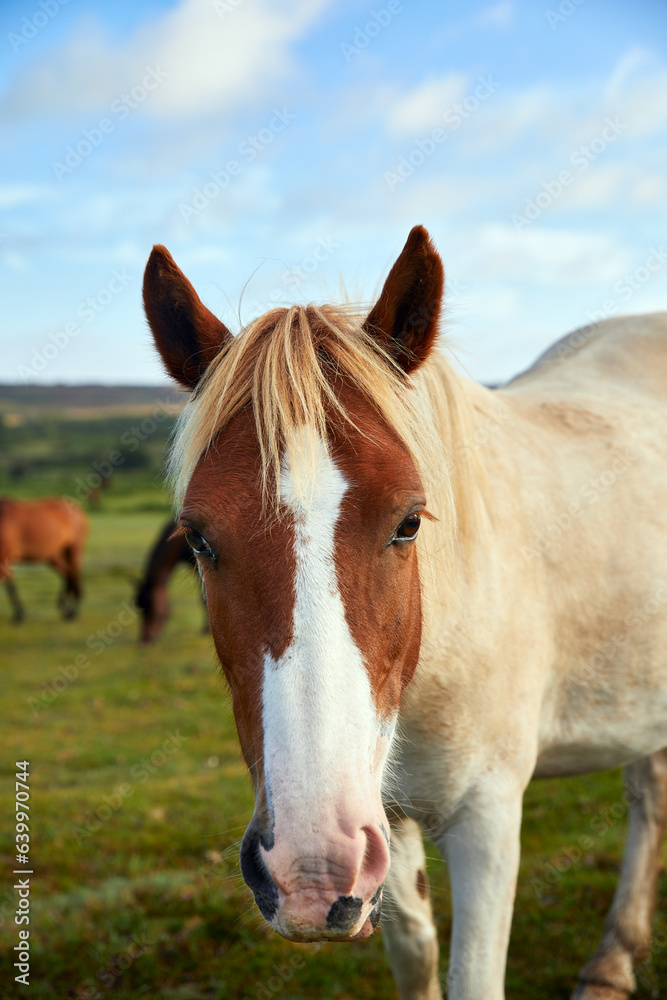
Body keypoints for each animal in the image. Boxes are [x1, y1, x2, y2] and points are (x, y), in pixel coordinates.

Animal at [144, 227, 667, 1000]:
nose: (308, 869)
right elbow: (415, 950)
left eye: (409, 521)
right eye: (199, 539)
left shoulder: (487, 818)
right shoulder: (381, 822)